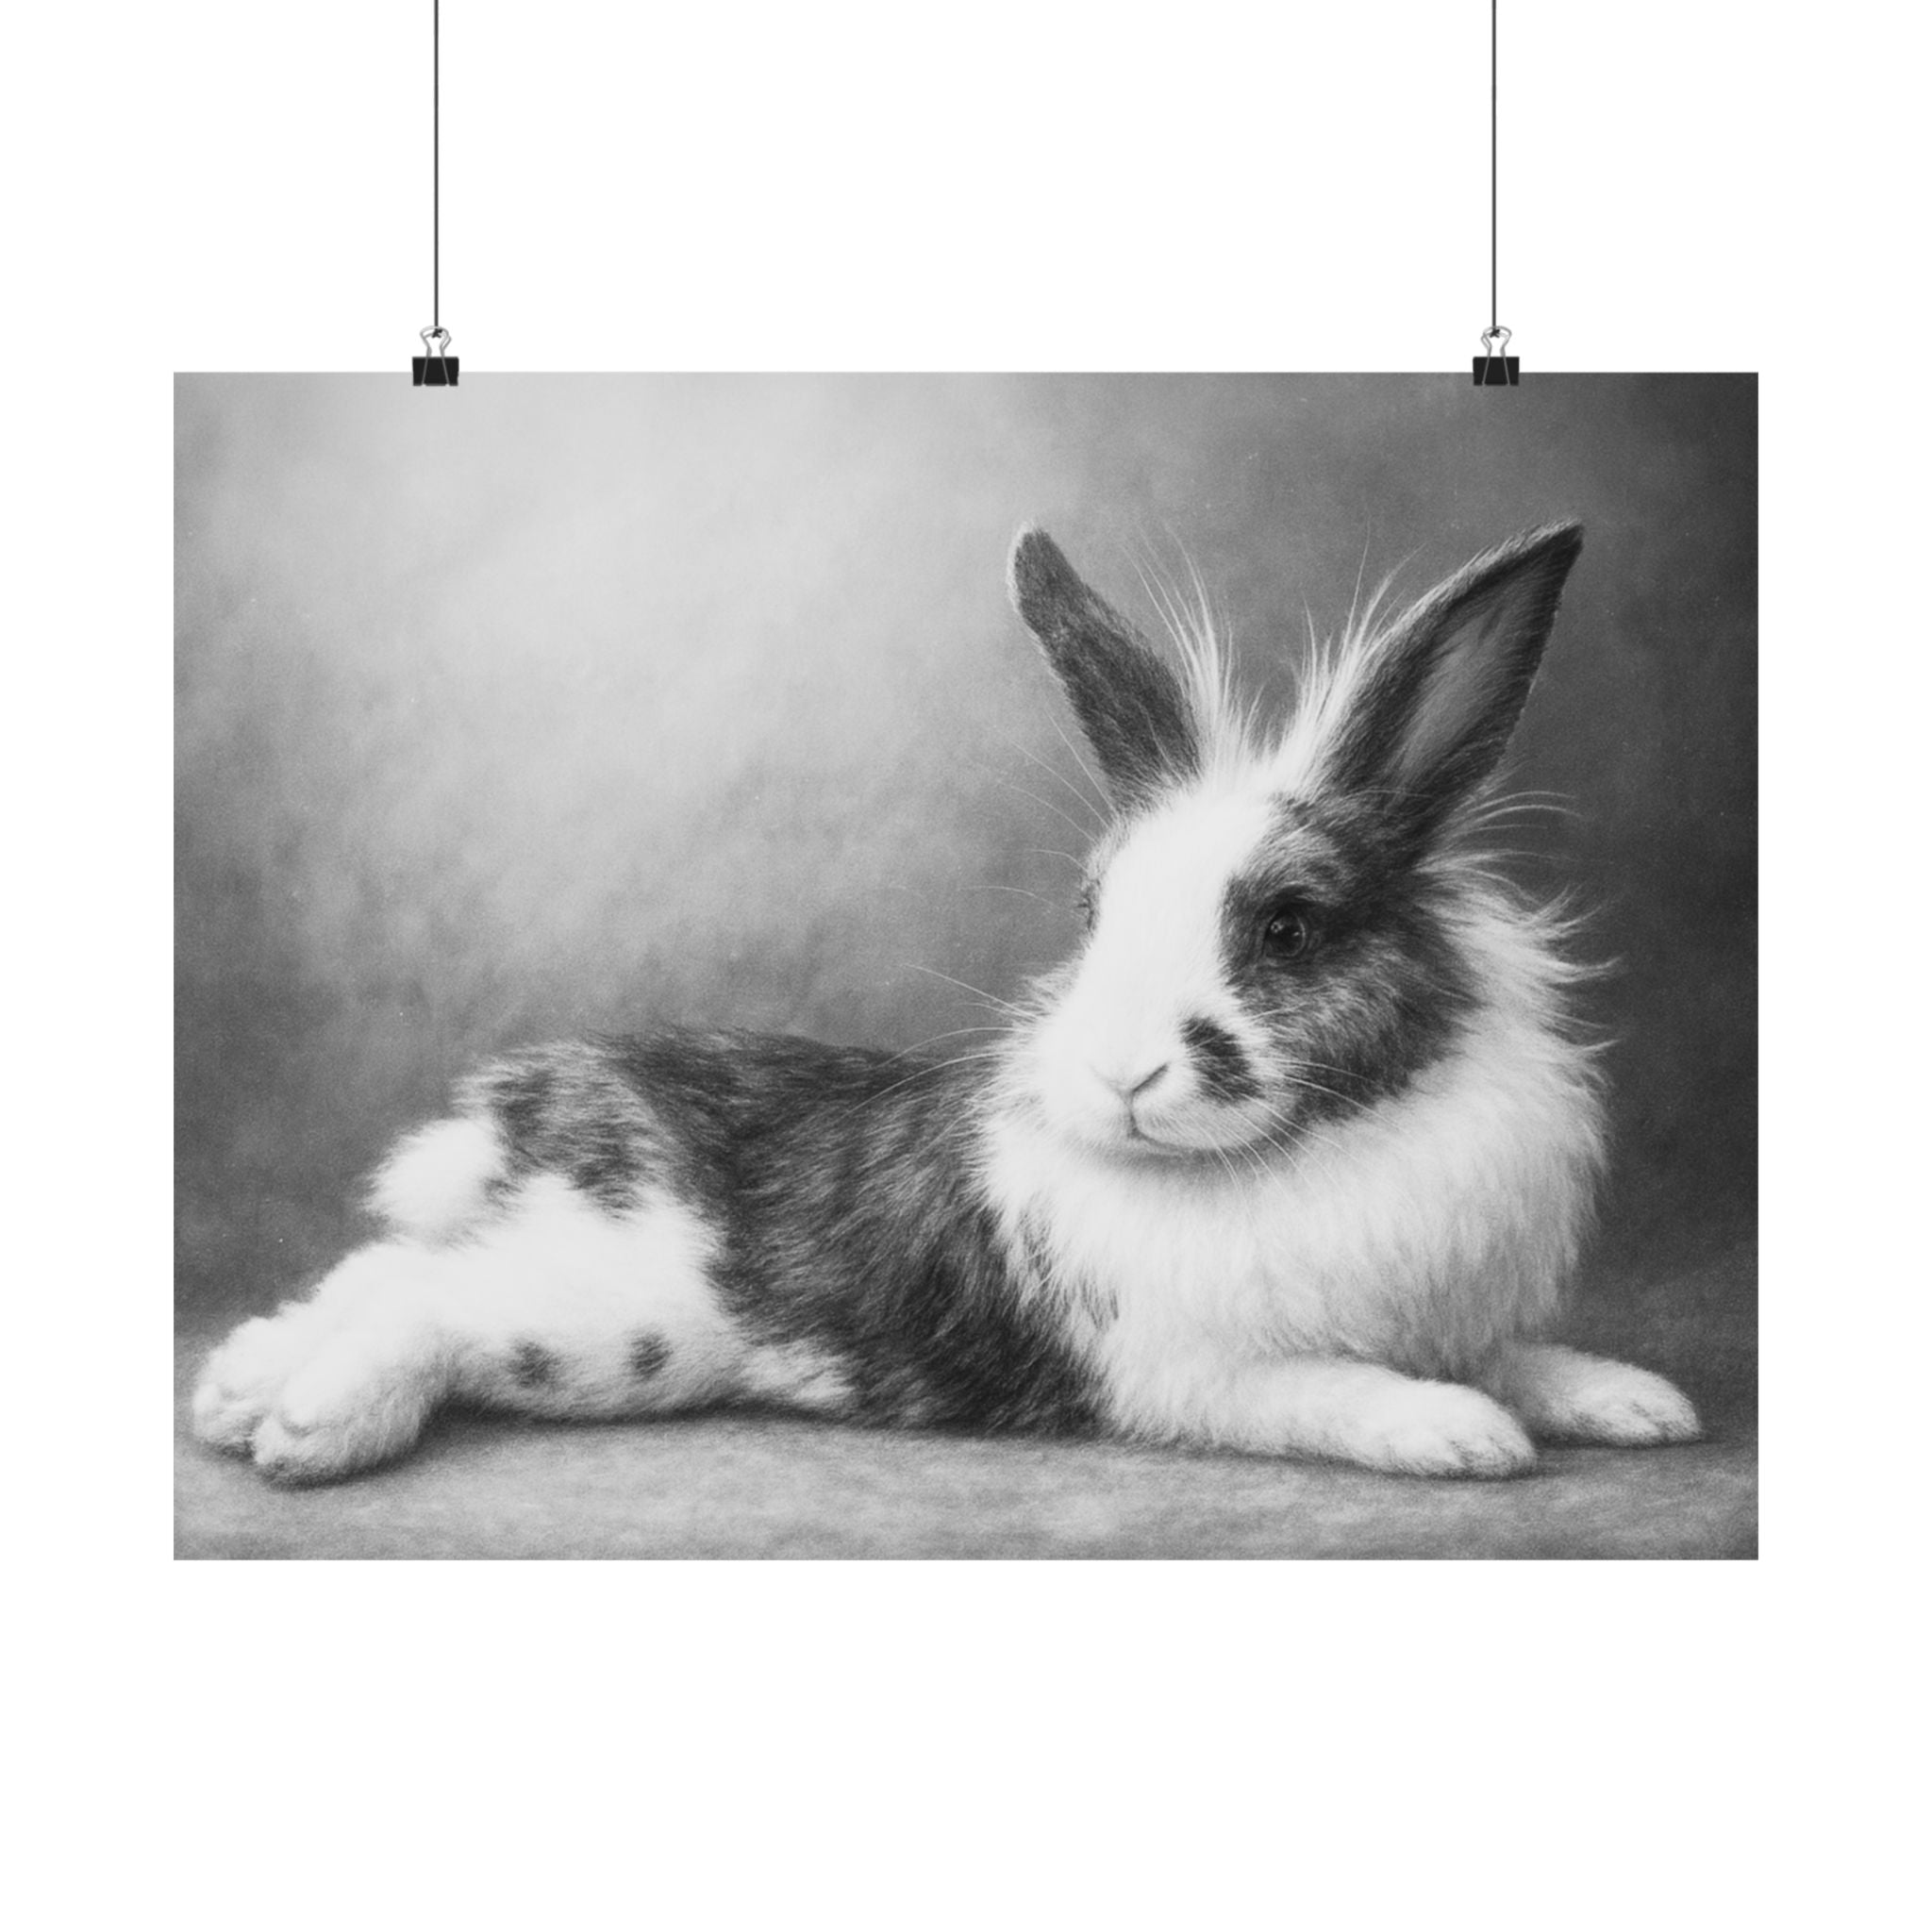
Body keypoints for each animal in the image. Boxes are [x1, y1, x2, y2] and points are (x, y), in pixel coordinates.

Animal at [190, 520, 1702, 1485]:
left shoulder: (1457, 1314)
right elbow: (1337, 1391)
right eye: (1092, 913)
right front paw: (1459, 1437)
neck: (1316, 1152)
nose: (1123, 1077)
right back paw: (305, 1428)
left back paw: (236, 1389)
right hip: (612, 1325)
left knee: (391, 1270)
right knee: (427, 1303)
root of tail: (548, 1102)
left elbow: (1520, 1354)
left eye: (1289, 926)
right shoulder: (1198, 1373)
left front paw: (1639, 1404)